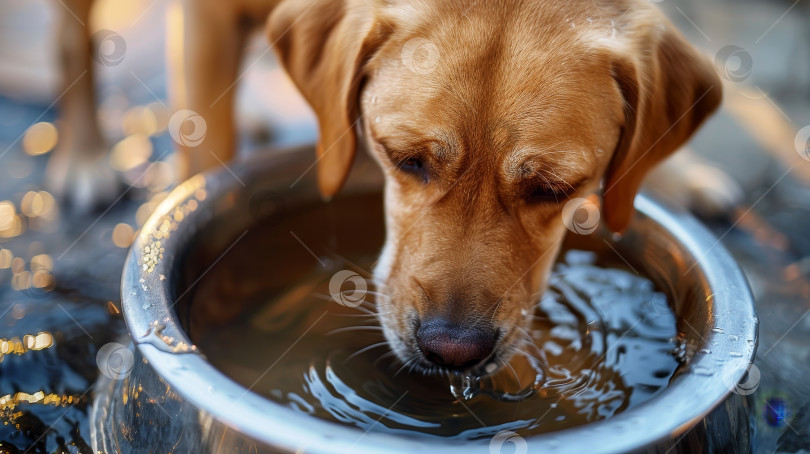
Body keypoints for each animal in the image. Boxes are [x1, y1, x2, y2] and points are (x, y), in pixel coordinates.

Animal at [53, 0, 716, 376]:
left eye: (556, 188)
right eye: (406, 159)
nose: (453, 351)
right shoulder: (205, 22)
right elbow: (208, 139)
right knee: (73, 38)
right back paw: (83, 154)